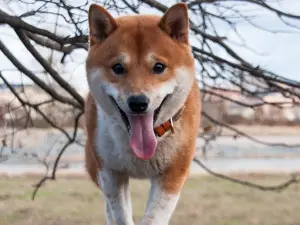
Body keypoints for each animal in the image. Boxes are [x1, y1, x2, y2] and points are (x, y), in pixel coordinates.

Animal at [84, 2, 202, 225]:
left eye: (159, 67)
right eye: (118, 67)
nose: (138, 102)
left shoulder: (172, 175)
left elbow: (153, 218)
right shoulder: (111, 174)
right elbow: (120, 215)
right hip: (95, 166)